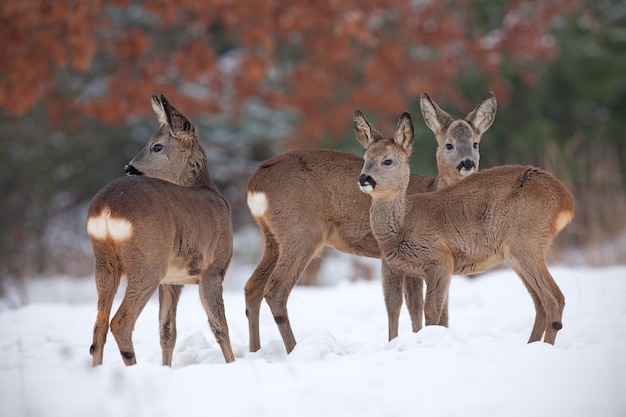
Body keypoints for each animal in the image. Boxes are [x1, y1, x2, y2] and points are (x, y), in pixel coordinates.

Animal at [86, 94, 234, 364]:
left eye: (156, 146)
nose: (129, 168)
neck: (208, 189)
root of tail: (105, 208)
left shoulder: (172, 280)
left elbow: (167, 331)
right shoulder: (213, 268)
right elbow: (219, 325)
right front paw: (233, 364)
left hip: (103, 260)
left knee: (99, 326)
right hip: (148, 261)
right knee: (120, 322)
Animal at [245, 92, 498, 352]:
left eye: (475, 143)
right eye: (449, 144)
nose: (467, 163)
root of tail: (256, 183)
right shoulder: (397, 257)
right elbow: (403, 303)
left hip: (273, 237)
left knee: (252, 287)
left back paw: (253, 350)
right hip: (302, 232)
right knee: (275, 289)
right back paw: (292, 349)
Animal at [354, 110, 572, 344]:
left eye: (387, 161)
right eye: (365, 159)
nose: (364, 178)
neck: (403, 223)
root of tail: (566, 200)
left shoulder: (441, 259)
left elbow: (431, 310)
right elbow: (428, 311)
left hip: (527, 242)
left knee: (554, 298)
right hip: (517, 254)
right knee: (540, 302)